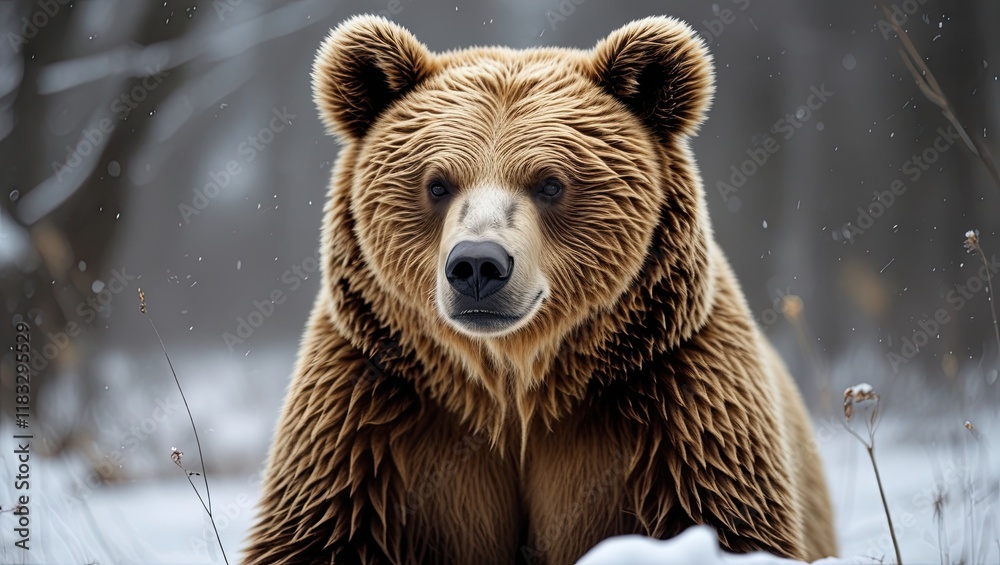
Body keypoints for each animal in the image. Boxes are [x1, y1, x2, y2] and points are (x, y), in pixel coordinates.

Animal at [244, 14, 837, 565]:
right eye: (437, 184)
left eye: (550, 183)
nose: (477, 266)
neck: (514, 388)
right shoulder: (373, 415)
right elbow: (320, 531)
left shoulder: (673, 406)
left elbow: (721, 514)